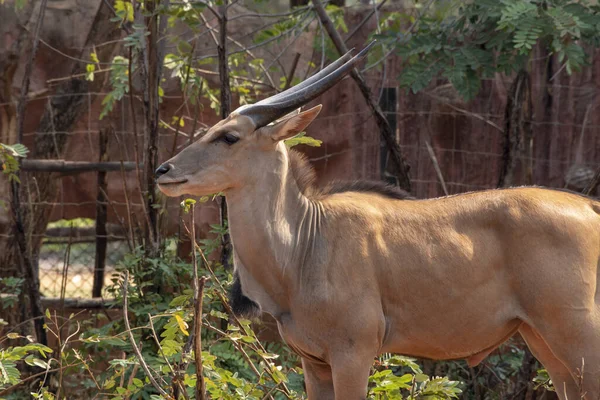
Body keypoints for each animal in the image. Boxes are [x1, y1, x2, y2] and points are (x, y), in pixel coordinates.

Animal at [157, 42, 600, 398]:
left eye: (229, 136)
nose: (164, 170)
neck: (305, 242)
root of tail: (590, 209)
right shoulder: (314, 364)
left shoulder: (353, 355)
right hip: (545, 343)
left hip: (577, 335)